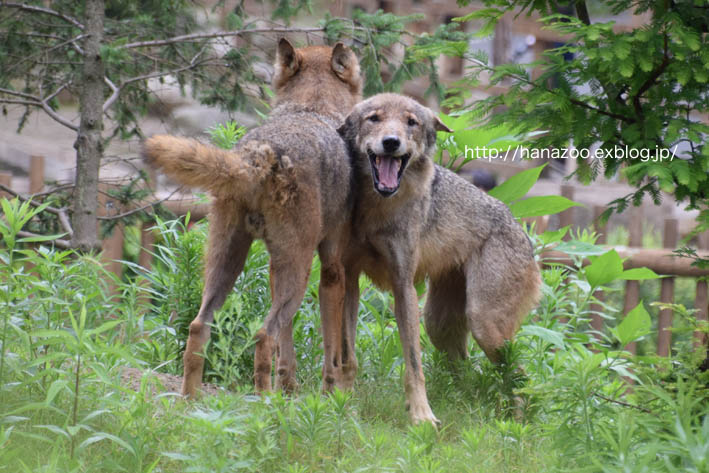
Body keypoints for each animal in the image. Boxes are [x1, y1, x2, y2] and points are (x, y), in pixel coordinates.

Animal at [145, 38, 366, 396]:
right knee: (264, 335)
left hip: (228, 263)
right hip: (298, 273)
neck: (311, 109)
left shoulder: (276, 266)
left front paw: (290, 388)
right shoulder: (332, 269)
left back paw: (189, 402)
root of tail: (260, 153)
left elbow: (288, 351)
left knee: (198, 328)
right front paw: (332, 394)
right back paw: (265, 404)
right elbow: (331, 349)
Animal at [334, 93, 540, 424]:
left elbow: (413, 366)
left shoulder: (403, 286)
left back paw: (516, 425)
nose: (391, 142)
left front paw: (421, 417)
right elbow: (347, 356)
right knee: (470, 374)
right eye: (374, 118)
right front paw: (343, 403)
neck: (375, 209)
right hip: (439, 326)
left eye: (411, 122)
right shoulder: (349, 279)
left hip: (483, 325)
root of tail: (524, 233)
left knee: (518, 374)